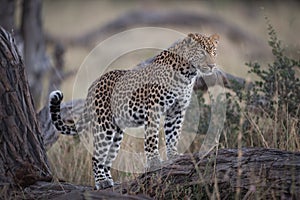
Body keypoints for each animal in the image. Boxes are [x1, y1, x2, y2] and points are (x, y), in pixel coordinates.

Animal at [49, 32, 220, 189]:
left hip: (116, 133)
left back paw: (110, 181)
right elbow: (152, 138)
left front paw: (173, 155)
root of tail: (94, 83)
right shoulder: (154, 109)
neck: (187, 73)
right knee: (97, 155)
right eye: (201, 53)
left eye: (214, 52)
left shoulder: (176, 111)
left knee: (107, 158)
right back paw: (101, 182)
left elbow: (173, 135)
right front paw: (154, 163)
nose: (212, 66)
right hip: (104, 126)